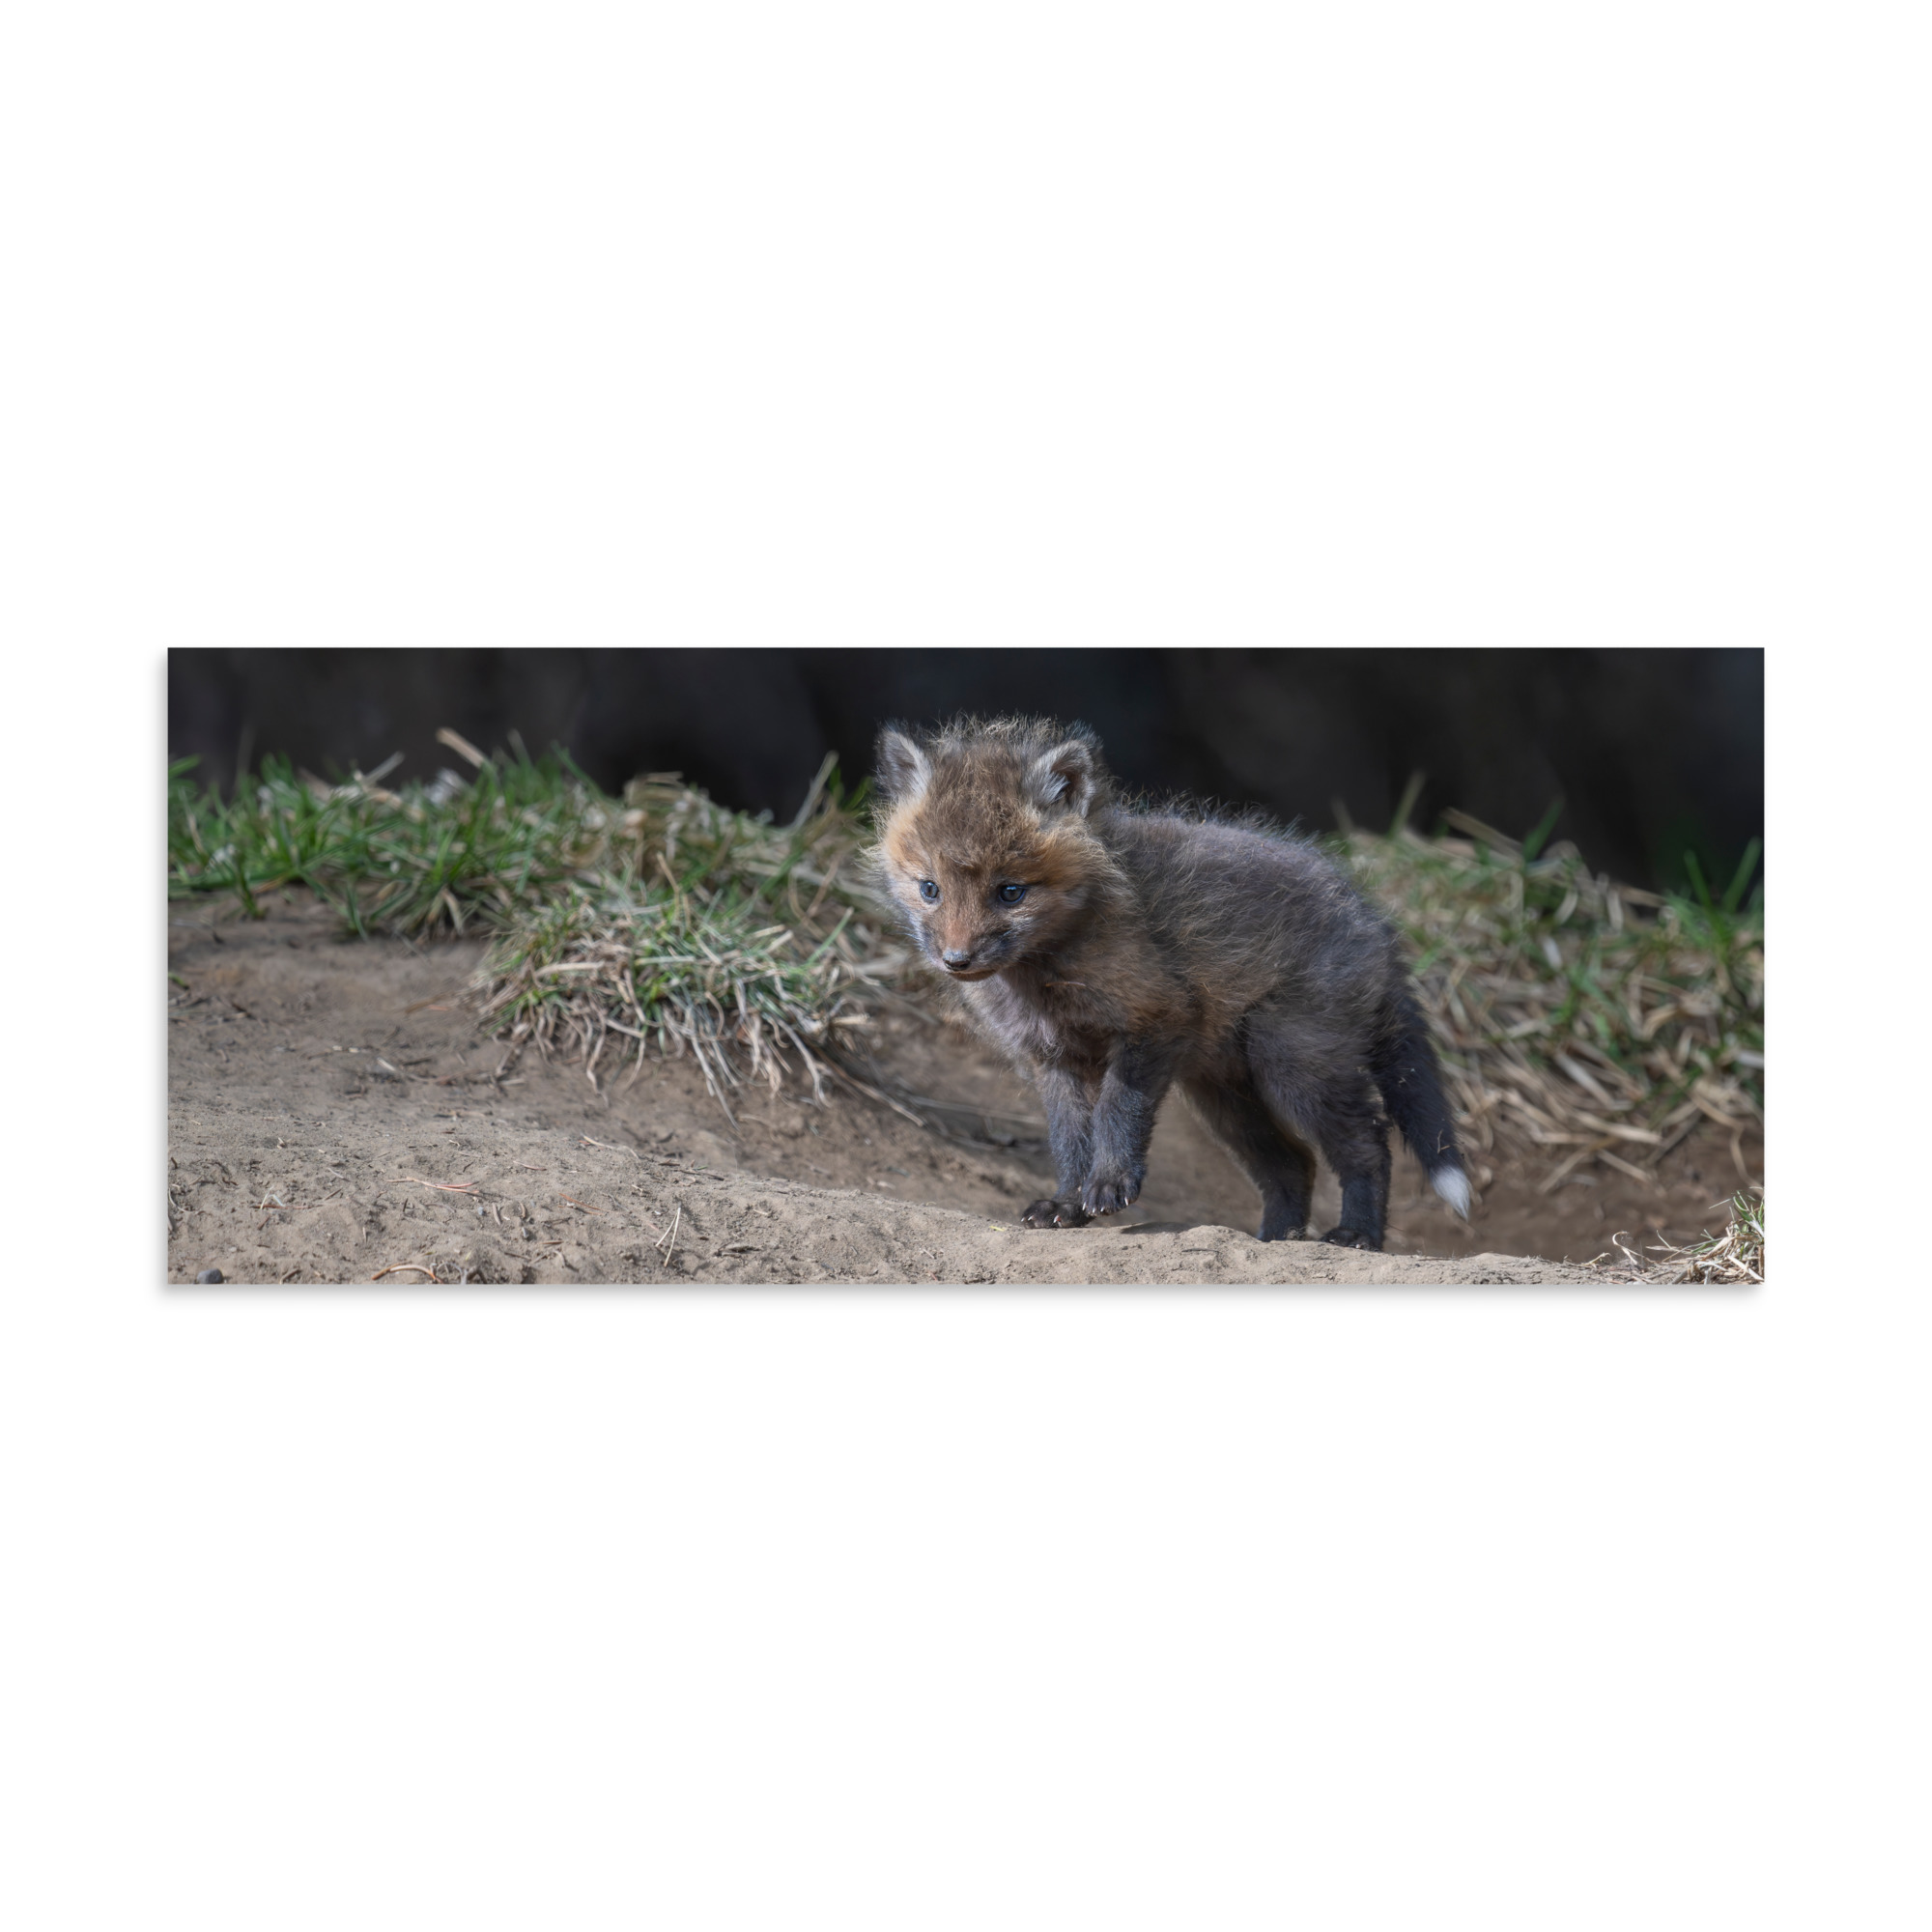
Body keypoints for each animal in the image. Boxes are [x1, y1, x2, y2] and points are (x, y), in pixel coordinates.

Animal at [871, 715, 1470, 1249]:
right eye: (929, 889)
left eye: (1010, 892)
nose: (956, 960)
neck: (1047, 975)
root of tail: (1375, 921)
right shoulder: (1055, 1057)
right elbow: (1069, 1139)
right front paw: (1067, 1203)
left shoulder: (1155, 1020)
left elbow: (1117, 1112)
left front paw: (1110, 1184)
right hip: (1225, 1096)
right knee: (1293, 1164)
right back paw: (1276, 1240)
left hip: (1295, 1065)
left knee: (1369, 1144)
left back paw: (1357, 1235)